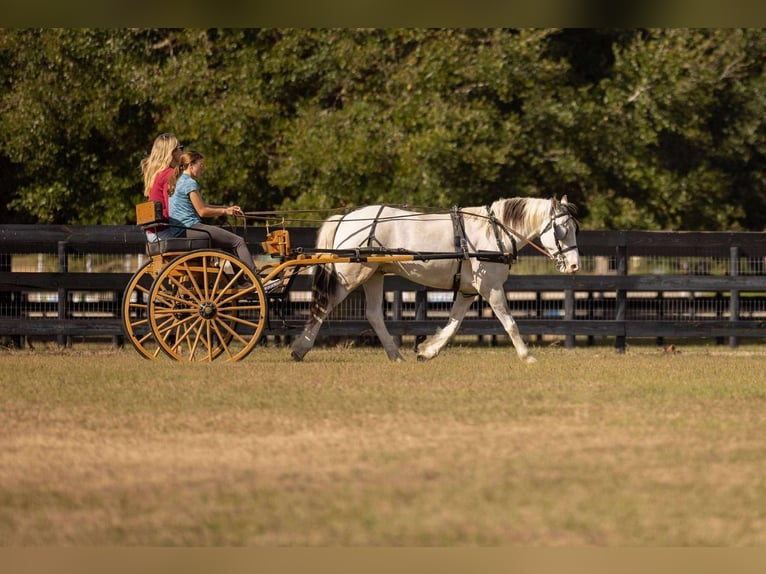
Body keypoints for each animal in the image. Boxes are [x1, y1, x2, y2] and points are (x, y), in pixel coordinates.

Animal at [290, 196, 580, 363]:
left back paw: (396, 355)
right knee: (323, 306)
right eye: (561, 230)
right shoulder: (491, 287)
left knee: (373, 314)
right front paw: (527, 356)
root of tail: (345, 217)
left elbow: (453, 324)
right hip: (350, 276)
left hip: (374, 275)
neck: (493, 232)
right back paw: (300, 348)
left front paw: (427, 350)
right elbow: (510, 323)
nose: (575, 265)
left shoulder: (468, 290)